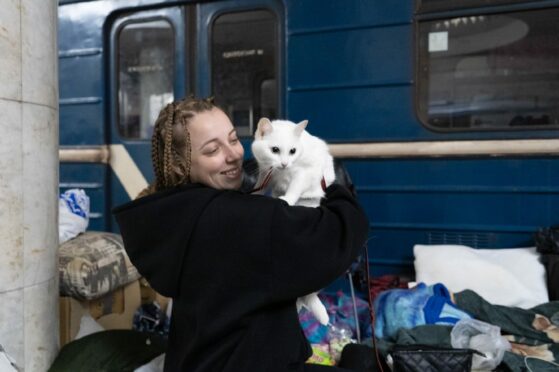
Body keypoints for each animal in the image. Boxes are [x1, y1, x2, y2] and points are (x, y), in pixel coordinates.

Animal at [253, 117, 336, 324]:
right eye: (275, 150)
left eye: (293, 151)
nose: (284, 163)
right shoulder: (266, 171)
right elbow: (260, 185)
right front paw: (254, 193)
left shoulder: (304, 173)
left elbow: (295, 187)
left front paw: (287, 199)